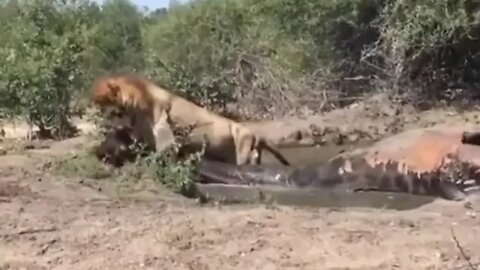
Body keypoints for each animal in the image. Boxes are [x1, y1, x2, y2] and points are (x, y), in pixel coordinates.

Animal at [91, 74, 292, 167]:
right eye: (102, 109)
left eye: (112, 111)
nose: (107, 120)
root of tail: (258, 136)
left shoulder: (159, 120)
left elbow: (163, 149)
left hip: (244, 149)